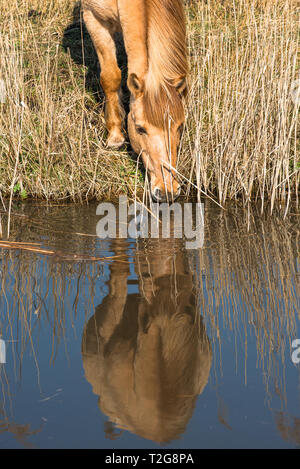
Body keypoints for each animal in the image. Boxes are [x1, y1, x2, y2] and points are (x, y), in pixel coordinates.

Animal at [82, 0, 188, 201]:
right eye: (140, 128)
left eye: (180, 127)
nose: (167, 191)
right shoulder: (93, 18)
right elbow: (111, 76)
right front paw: (115, 137)